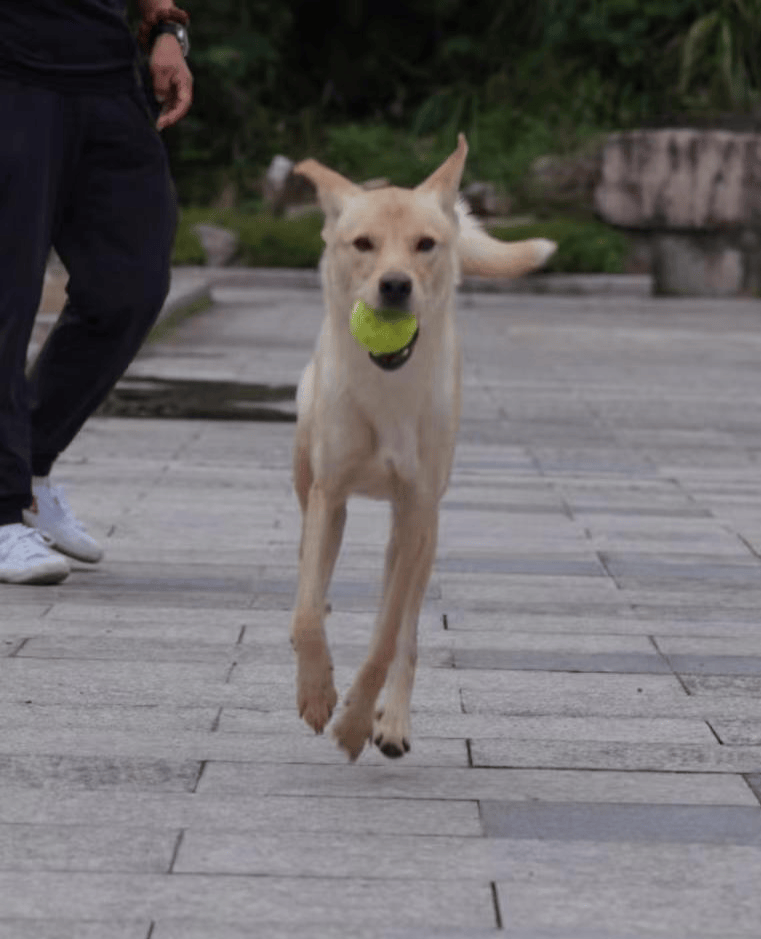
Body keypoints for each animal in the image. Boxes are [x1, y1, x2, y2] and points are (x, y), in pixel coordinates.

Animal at [290, 136, 552, 760]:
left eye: (424, 245)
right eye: (362, 243)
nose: (395, 285)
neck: (387, 389)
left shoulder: (415, 511)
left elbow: (387, 639)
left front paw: (356, 722)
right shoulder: (329, 492)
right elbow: (308, 610)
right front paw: (316, 693)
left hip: (423, 531)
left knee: (405, 626)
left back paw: (391, 723)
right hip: (309, 473)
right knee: (316, 572)